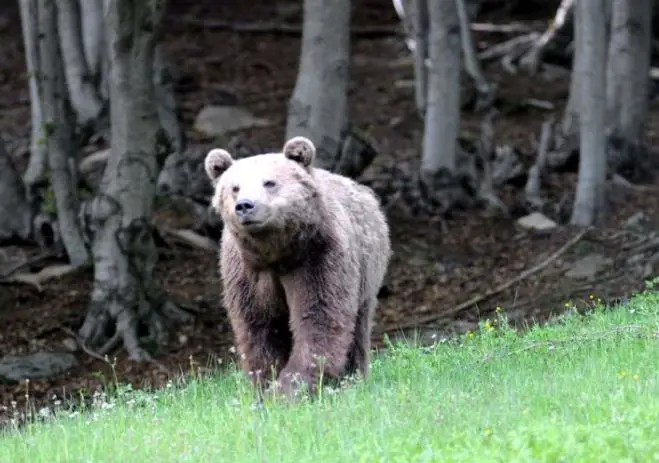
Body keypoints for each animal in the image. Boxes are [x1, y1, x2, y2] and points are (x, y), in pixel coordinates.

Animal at [204, 137, 392, 398]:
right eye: (235, 188)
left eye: (269, 182)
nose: (245, 206)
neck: (277, 253)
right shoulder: (248, 272)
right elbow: (261, 326)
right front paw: (266, 384)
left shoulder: (317, 258)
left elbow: (318, 317)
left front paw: (289, 389)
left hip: (366, 271)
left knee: (359, 327)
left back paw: (354, 379)